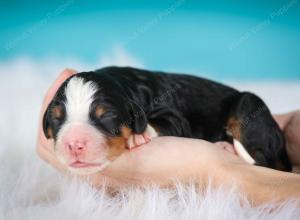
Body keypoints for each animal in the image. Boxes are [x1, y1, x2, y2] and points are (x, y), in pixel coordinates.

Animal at [42, 66, 290, 174]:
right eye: (56, 119)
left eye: (107, 116)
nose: (74, 144)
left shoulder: (175, 117)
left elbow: (161, 123)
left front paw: (138, 136)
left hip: (248, 105)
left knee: (262, 159)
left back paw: (226, 147)